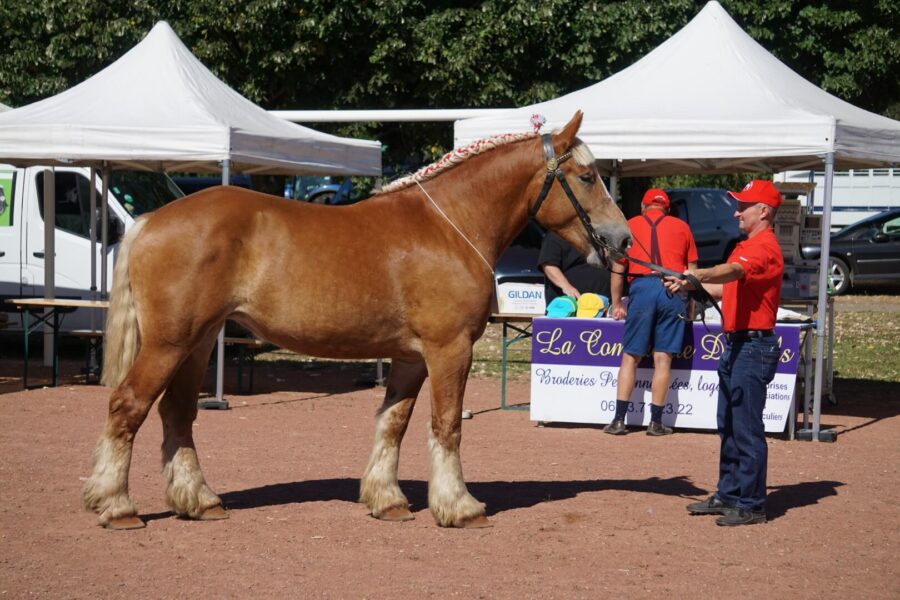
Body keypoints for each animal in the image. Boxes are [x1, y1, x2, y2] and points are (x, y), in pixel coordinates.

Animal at [86, 111, 632, 528]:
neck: (449, 226)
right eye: (587, 176)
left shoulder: (412, 358)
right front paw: (459, 506)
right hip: (168, 344)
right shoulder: (449, 349)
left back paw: (199, 501)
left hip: (198, 343)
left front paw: (387, 500)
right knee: (128, 406)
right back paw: (116, 506)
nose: (623, 238)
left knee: (177, 414)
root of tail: (150, 220)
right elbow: (447, 425)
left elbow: (393, 423)